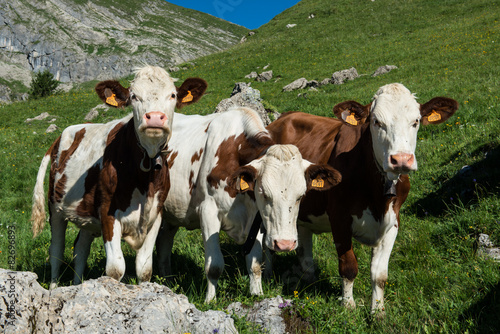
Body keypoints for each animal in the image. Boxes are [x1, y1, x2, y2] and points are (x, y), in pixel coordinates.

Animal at [30, 66, 207, 290]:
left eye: (173, 95)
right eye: (134, 96)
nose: (155, 117)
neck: (144, 177)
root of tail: (60, 138)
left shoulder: (156, 214)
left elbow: (144, 268)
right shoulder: (108, 212)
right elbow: (115, 269)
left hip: (86, 214)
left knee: (80, 248)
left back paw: (78, 284)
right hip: (55, 208)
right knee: (56, 251)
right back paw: (53, 288)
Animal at [155, 107, 344, 302]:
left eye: (301, 196)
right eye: (265, 194)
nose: (285, 244)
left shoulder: (256, 219)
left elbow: (254, 264)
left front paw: (257, 294)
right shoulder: (208, 212)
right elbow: (214, 266)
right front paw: (210, 300)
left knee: (164, 241)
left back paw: (166, 280)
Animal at [268, 83, 458, 316]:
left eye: (416, 121)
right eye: (377, 122)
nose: (401, 160)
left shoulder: (393, 221)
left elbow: (380, 274)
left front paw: (378, 311)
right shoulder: (339, 218)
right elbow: (348, 266)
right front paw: (348, 306)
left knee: (304, 247)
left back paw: (309, 279)